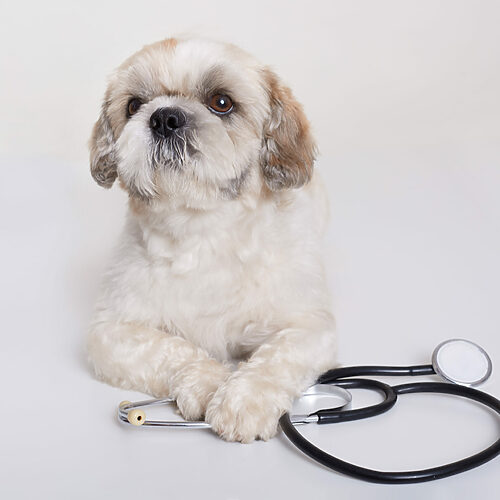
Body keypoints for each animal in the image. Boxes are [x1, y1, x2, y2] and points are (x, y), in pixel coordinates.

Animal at [87, 36, 336, 442]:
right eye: (134, 105)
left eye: (222, 102)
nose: (165, 117)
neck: (203, 233)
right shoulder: (110, 333)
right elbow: (170, 348)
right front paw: (209, 381)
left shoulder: (309, 327)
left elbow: (276, 358)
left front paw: (245, 398)